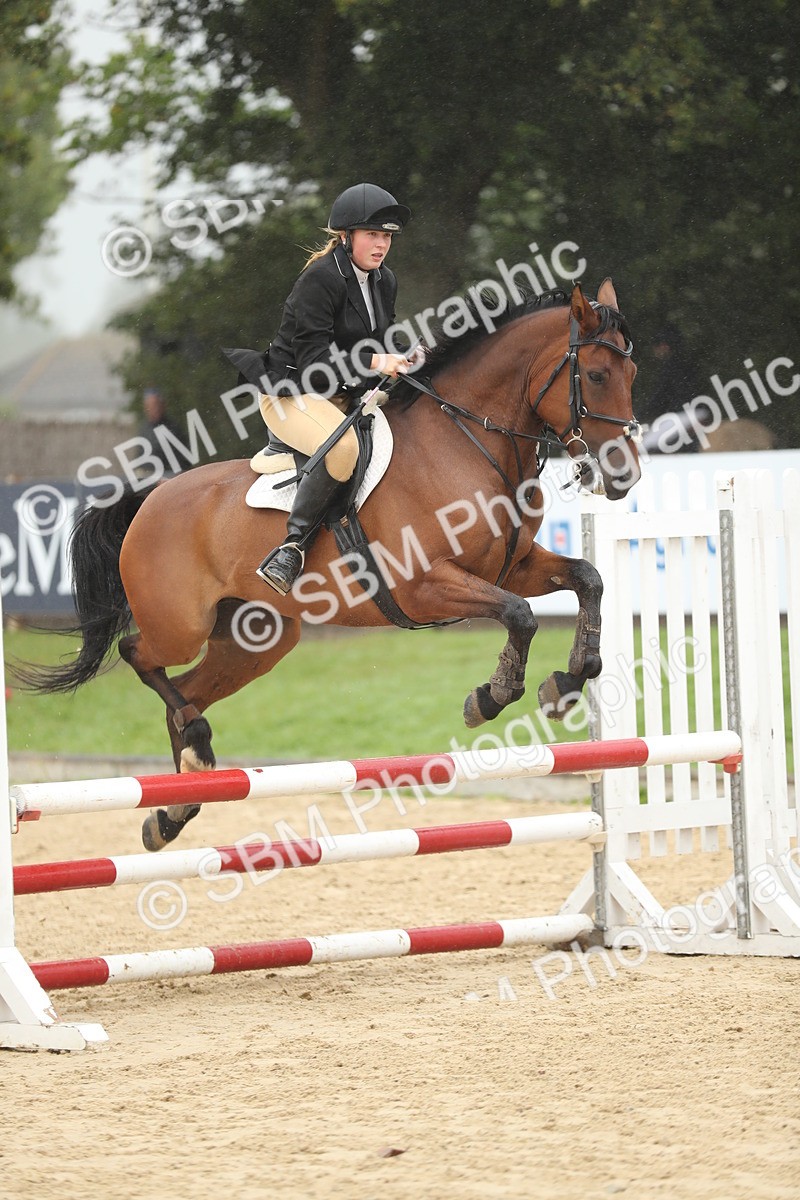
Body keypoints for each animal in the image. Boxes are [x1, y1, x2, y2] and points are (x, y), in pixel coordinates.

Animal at [23, 279, 640, 851]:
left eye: (631, 373)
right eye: (597, 375)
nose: (624, 475)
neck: (467, 440)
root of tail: (151, 497)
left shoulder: (513, 566)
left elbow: (587, 579)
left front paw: (568, 680)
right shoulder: (425, 585)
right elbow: (520, 615)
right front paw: (491, 696)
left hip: (257, 639)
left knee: (187, 691)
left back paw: (176, 805)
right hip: (181, 625)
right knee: (141, 656)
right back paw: (196, 753)